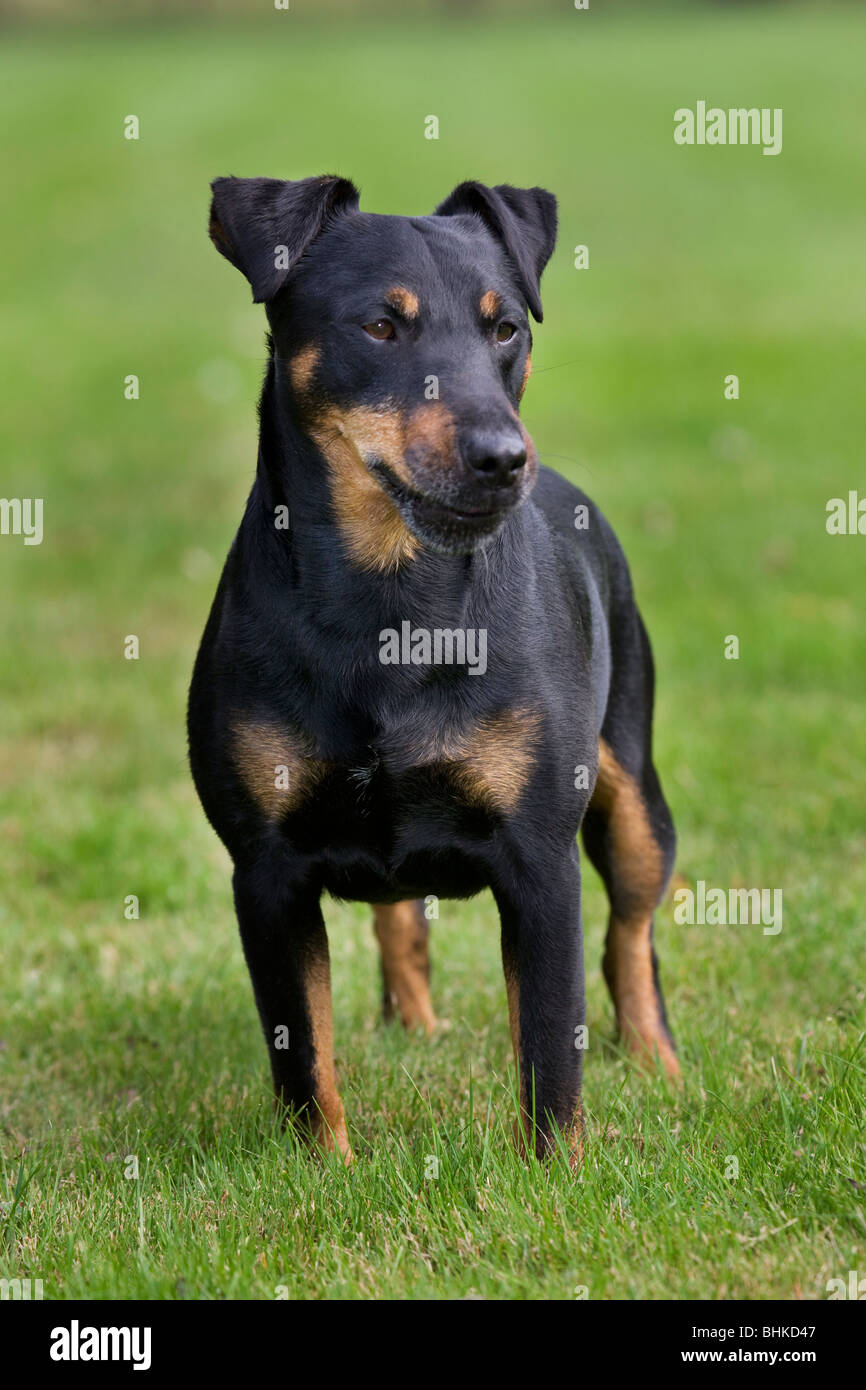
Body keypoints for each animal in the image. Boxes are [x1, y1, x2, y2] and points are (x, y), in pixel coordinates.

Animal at [187, 170, 678, 1162]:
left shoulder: (540, 858)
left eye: (507, 329)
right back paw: (414, 1028)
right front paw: (325, 1172)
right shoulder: (265, 869)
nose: (504, 457)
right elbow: (305, 1051)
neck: (393, 600)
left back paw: (657, 1063)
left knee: (631, 931)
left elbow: (551, 1044)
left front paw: (556, 1174)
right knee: (400, 918)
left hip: (634, 789)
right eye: (380, 325)